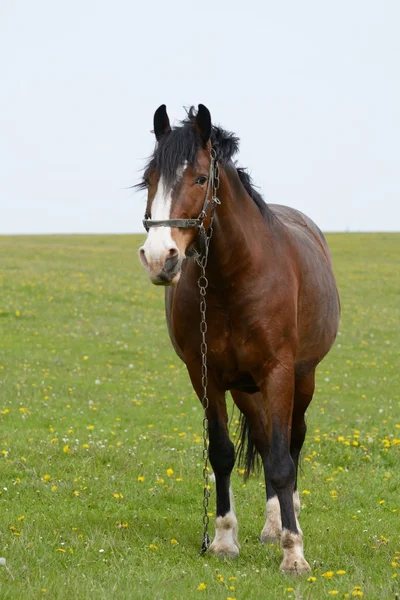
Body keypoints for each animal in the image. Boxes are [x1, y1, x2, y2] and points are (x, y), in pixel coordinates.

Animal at [138, 105, 340, 576]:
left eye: (199, 179)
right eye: (150, 178)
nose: (159, 258)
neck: (234, 276)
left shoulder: (278, 372)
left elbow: (284, 462)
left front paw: (294, 552)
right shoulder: (205, 377)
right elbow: (223, 453)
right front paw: (224, 539)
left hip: (302, 379)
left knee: (292, 442)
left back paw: (288, 519)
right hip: (246, 390)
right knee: (265, 440)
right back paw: (270, 524)